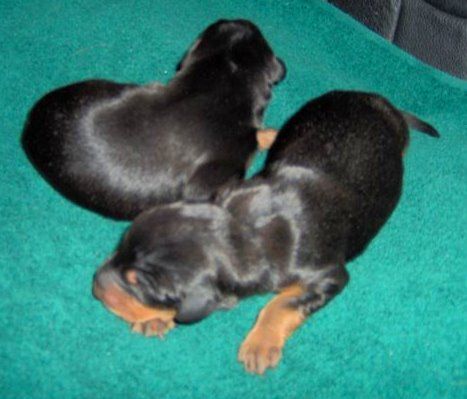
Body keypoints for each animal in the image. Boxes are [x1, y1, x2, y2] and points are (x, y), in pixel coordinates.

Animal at [90, 91, 438, 376]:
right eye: (121, 244)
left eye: (140, 284)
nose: (94, 286)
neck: (242, 229)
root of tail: (379, 101)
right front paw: (153, 319)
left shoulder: (329, 276)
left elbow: (283, 304)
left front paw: (259, 345)